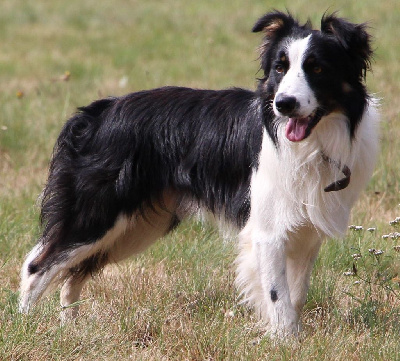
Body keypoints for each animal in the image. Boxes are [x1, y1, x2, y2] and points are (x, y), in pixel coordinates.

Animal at [20, 11, 380, 336]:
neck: (315, 140)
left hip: (136, 226)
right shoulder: (267, 231)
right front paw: (286, 343)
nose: (284, 104)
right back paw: (24, 326)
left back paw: (71, 331)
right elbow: (277, 296)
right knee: (37, 265)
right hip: (99, 214)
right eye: (280, 68)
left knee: (71, 274)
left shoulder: (306, 229)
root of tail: (97, 112)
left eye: (317, 68)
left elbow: (296, 294)